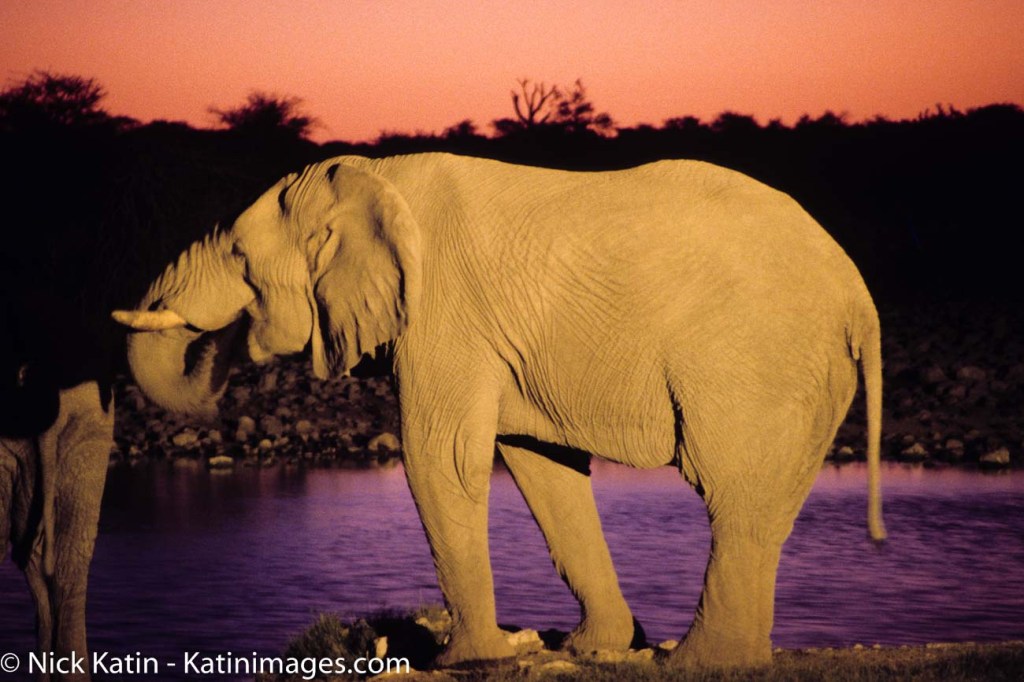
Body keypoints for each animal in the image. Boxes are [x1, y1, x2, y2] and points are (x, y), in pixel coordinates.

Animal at [112, 152, 884, 668]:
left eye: (241, 256)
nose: (233, 339)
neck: (372, 178)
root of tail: (860, 296)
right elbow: (542, 468)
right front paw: (588, 650)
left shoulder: (441, 313)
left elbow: (441, 457)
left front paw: (474, 659)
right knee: (761, 509)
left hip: (753, 360)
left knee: (730, 493)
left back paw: (698, 664)